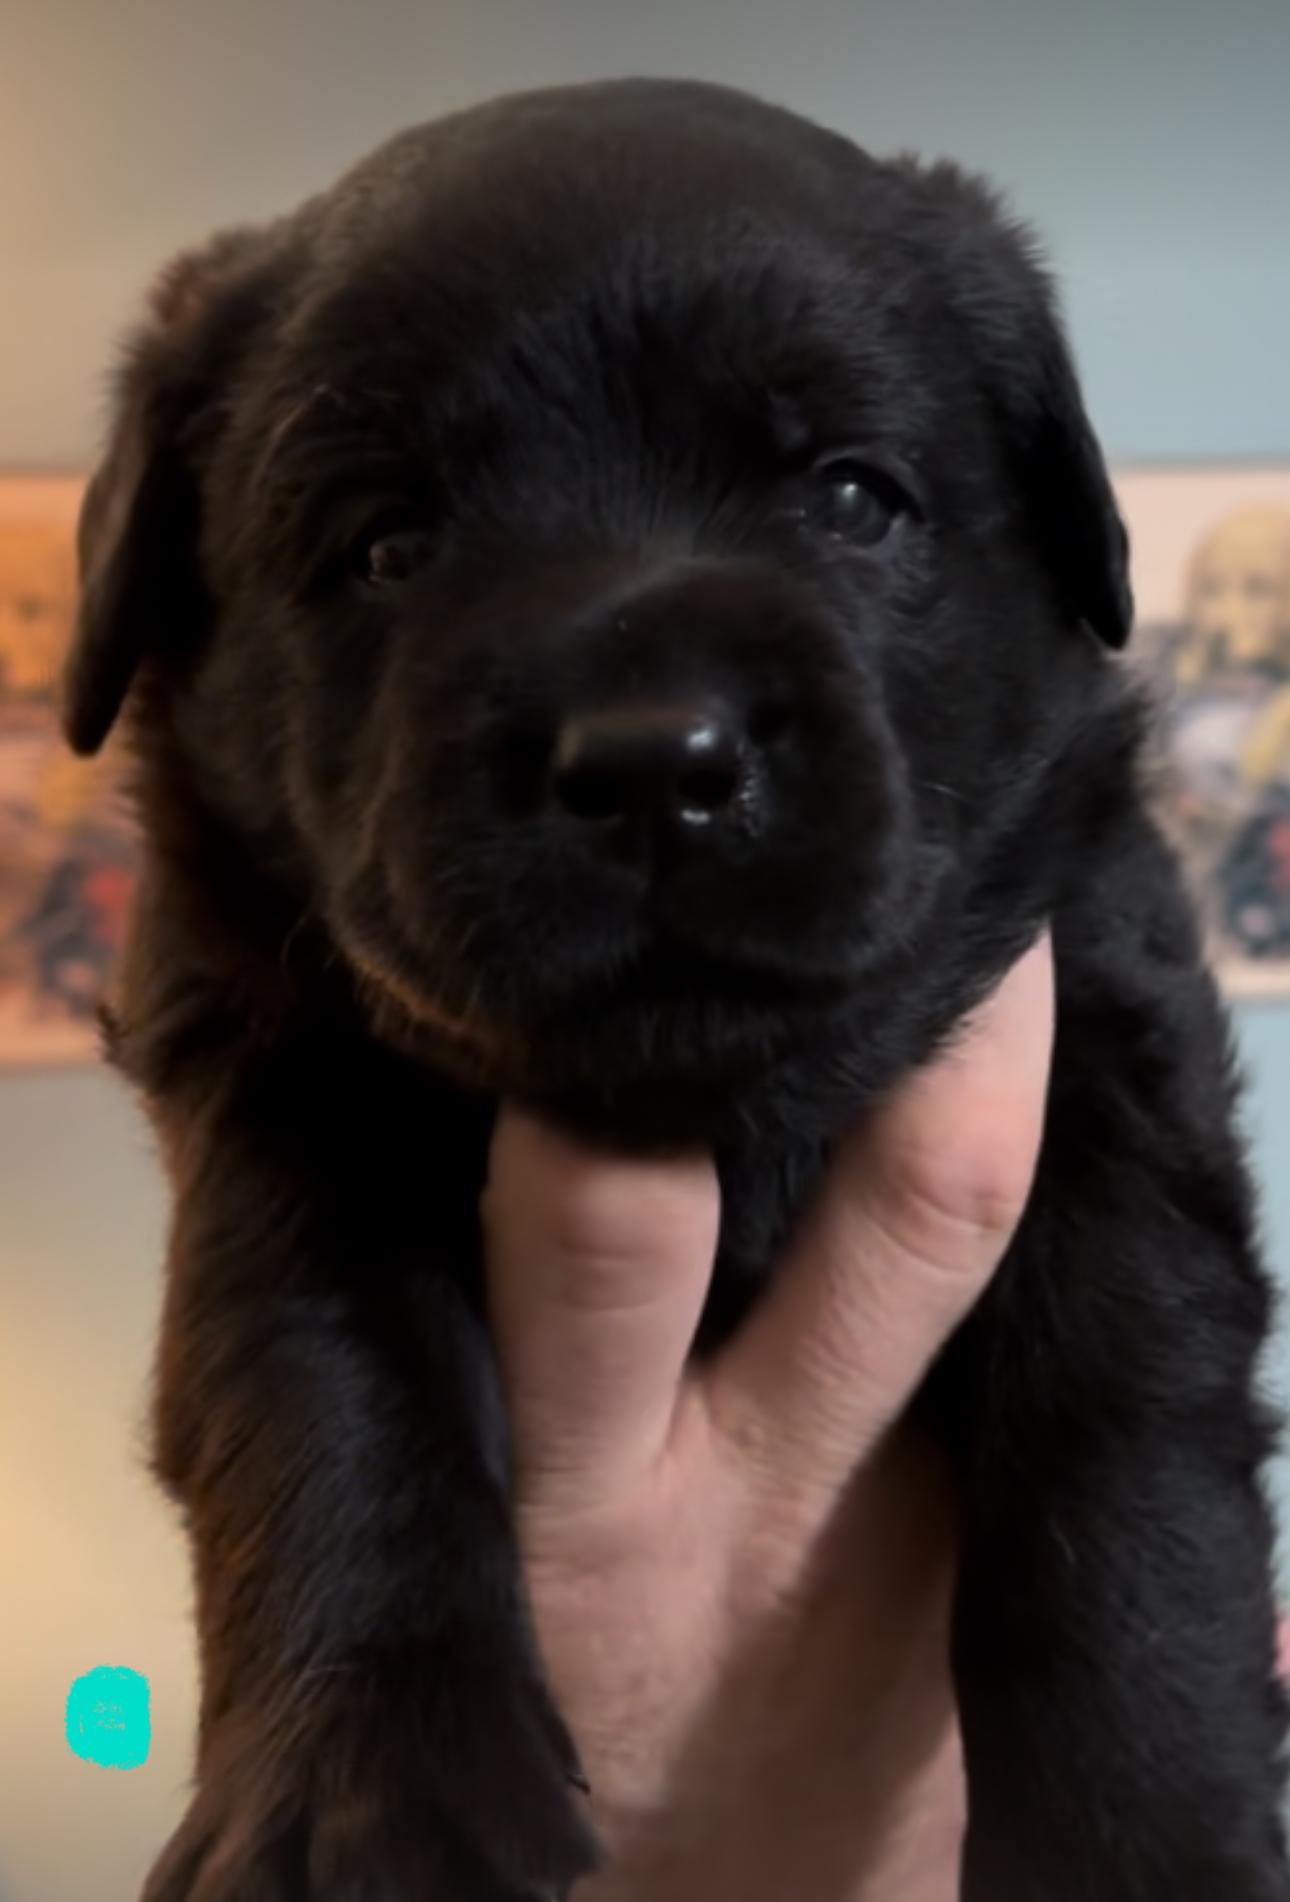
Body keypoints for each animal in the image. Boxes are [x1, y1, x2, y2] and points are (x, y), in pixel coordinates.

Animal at [64, 78, 1289, 1900]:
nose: (654, 758)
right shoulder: (273, 1090)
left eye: (852, 496)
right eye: (388, 544)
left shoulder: (1103, 1041)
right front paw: (359, 1791)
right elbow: (323, 1378)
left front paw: (1150, 1841)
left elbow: (1124, 1431)